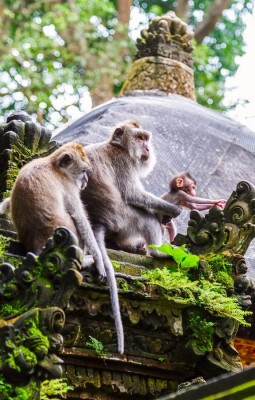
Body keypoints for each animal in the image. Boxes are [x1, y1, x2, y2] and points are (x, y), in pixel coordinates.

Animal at [0, 142, 124, 354]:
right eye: (84, 171)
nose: (86, 180)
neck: (53, 166)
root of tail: (38, 249)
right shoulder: (69, 187)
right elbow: (81, 220)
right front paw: (99, 261)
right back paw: (89, 260)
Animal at [82, 117, 181, 258]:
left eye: (146, 138)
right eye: (140, 138)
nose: (147, 149)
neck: (119, 147)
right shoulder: (124, 161)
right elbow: (132, 194)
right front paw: (171, 209)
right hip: (122, 222)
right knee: (147, 218)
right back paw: (158, 253)